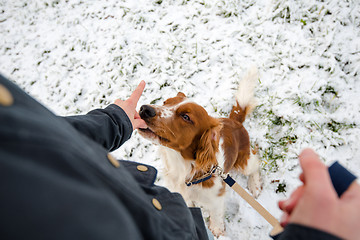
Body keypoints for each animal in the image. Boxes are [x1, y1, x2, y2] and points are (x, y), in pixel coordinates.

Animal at [139, 67, 262, 236]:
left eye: (186, 117)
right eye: (164, 102)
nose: (145, 109)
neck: (182, 165)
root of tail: (235, 121)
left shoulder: (217, 195)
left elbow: (216, 212)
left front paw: (217, 229)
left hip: (243, 162)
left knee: (255, 162)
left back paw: (254, 185)